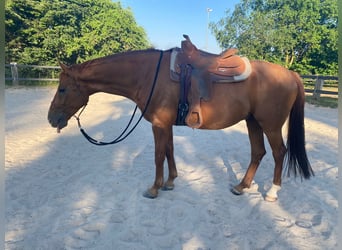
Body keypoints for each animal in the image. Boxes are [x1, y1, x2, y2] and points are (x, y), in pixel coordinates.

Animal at [49, 48, 314, 201]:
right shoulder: (166, 124)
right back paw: (241, 186)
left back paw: (272, 192)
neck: (148, 74)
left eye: (62, 89)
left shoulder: (159, 124)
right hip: (253, 122)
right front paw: (170, 182)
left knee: (279, 153)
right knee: (258, 152)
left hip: (270, 125)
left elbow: (158, 155)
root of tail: (291, 74)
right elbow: (169, 151)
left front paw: (154, 188)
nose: (51, 118)